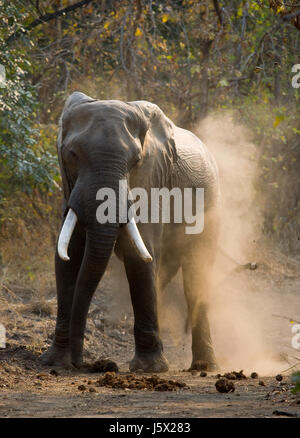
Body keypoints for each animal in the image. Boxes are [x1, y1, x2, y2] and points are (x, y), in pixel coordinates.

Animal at [40, 92, 220, 372]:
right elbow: (68, 257)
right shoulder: (70, 190)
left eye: (135, 162)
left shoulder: (152, 180)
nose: (81, 363)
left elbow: (139, 253)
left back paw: (203, 367)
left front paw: (149, 368)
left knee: (195, 276)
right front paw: (56, 362)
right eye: (72, 154)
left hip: (210, 208)